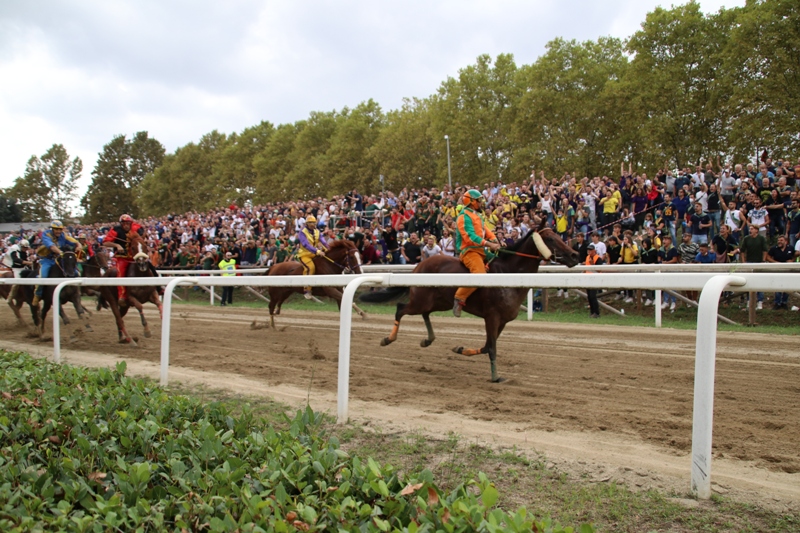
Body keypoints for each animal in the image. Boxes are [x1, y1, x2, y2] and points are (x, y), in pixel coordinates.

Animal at [379, 226, 580, 382]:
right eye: (550, 238)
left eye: (558, 236)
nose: (575, 255)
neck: (508, 273)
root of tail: (419, 265)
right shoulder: (492, 317)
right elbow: (491, 348)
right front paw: (496, 377)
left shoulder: (502, 321)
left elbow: (485, 346)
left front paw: (459, 349)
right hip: (421, 300)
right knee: (400, 309)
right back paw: (388, 339)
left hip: (437, 302)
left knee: (424, 313)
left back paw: (428, 340)